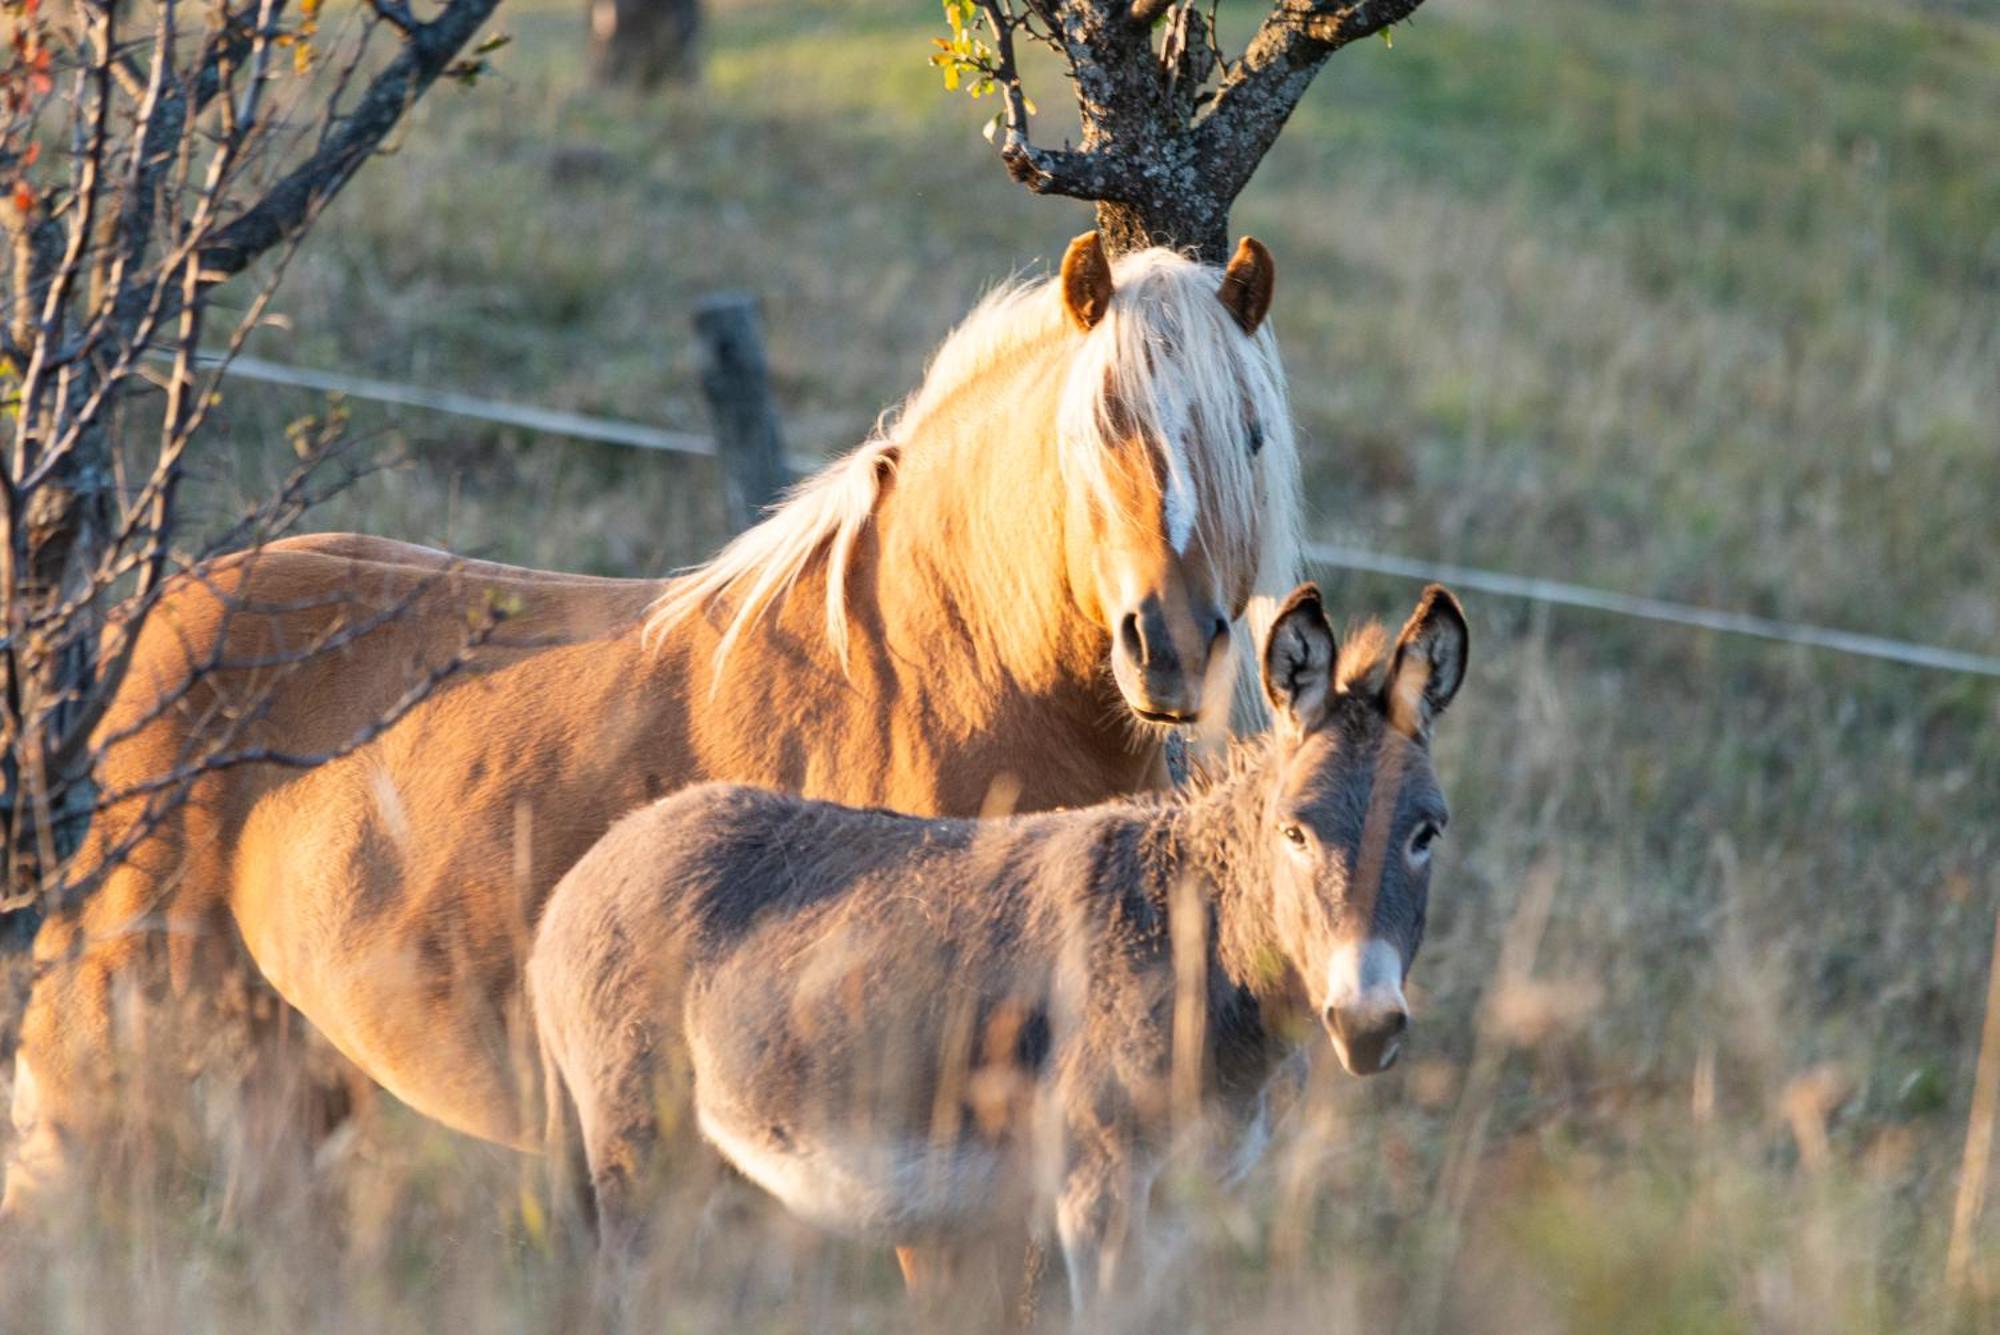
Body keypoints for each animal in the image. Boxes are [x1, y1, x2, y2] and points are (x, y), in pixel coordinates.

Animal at [0, 231, 1304, 1223]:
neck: (937, 681)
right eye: (1105, 426)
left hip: (292, 1065)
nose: (1171, 645)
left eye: (1246, 434)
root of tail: (163, 612)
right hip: (104, 1038)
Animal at [532, 579, 1472, 1311]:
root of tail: (595, 864)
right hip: (638, 1146)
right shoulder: (1099, 1189)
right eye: (1296, 832)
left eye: (1427, 833)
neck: (1199, 946)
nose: (1367, 1025)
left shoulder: (1191, 1204)